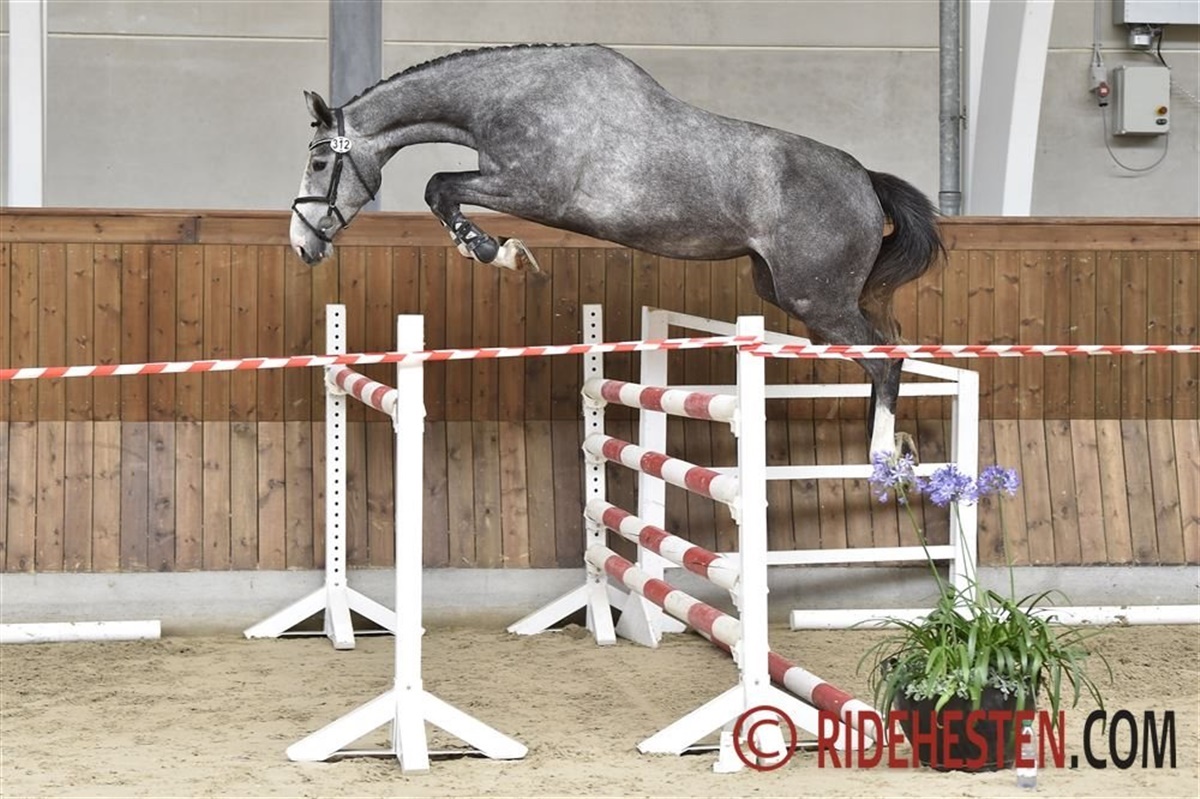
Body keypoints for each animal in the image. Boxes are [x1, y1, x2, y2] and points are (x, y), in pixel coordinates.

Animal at [289, 43, 944, 456]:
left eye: (320, 163)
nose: (301, 244)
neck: (510, 96)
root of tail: (865, 181)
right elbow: (442, 188)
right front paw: (493, 249)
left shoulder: (531, 189)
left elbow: (440, 186)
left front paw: (495, 250)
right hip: (799, 292)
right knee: (887, 347)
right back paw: (896, 447)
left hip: (817, 300)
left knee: (884, 362)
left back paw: (881, 459)